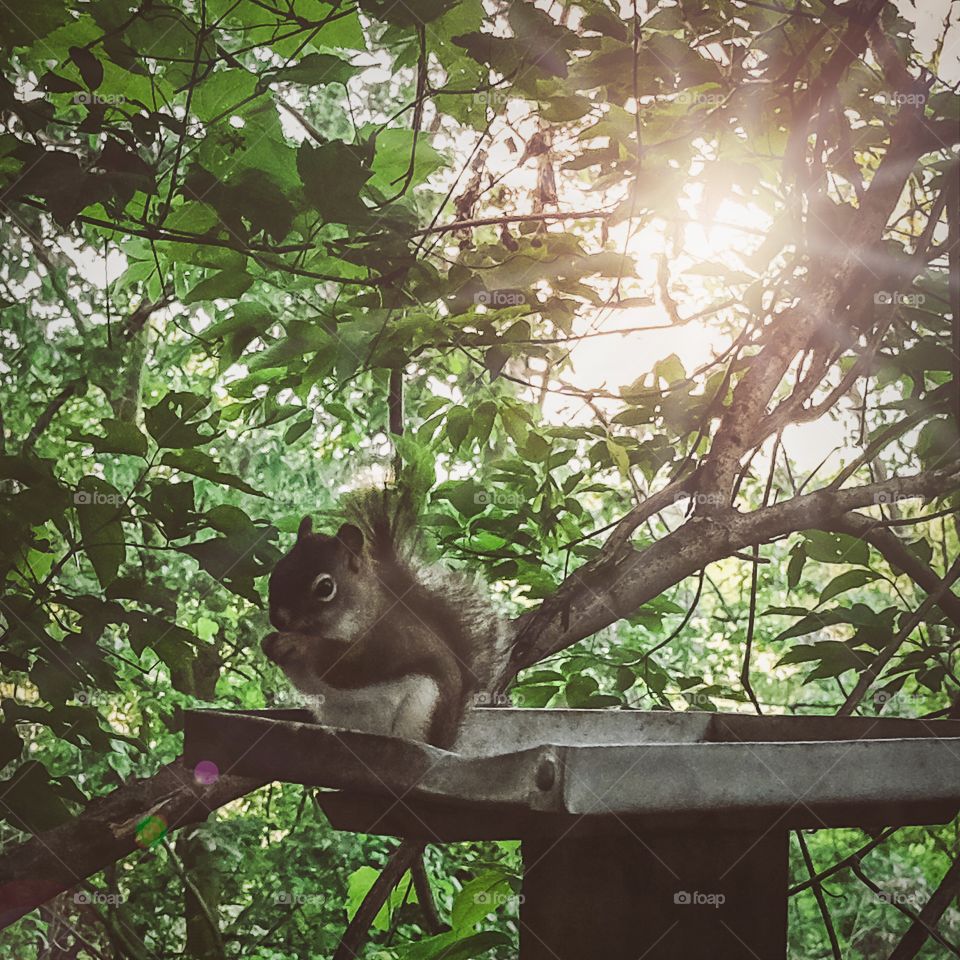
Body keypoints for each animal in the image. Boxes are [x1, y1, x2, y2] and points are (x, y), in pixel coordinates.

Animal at [262, 487, 510, 749]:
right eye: (276, 572)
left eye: (325, 587)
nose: (278, 619)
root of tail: (444, 739)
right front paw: (269, 642)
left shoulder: (384, 642)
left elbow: (344, 664)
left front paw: (298, 644)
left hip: (422, 708)